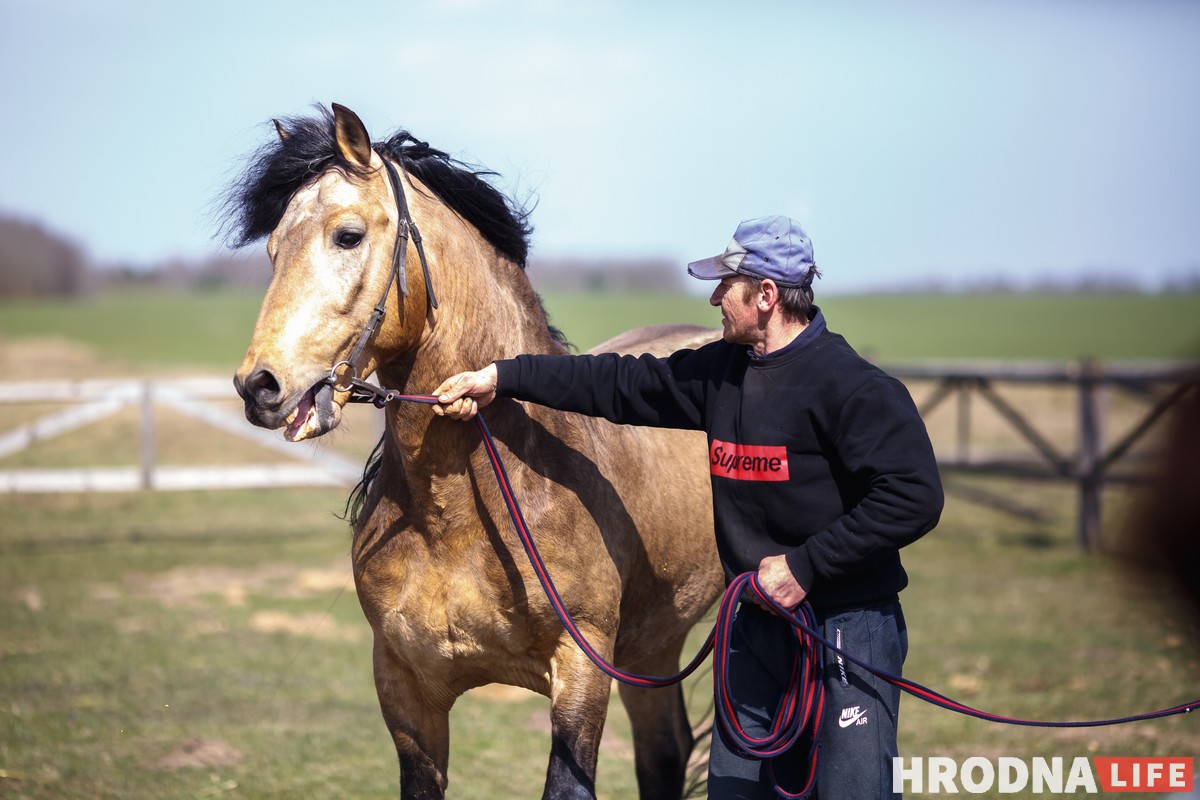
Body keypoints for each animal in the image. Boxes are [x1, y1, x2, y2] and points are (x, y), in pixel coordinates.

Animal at [229, 106, 724, 800]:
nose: (260, 386)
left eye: (347, 236)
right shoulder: (405, 688)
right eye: (274, 249)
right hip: (653, 644)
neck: (467, 509)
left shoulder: (581, 674)